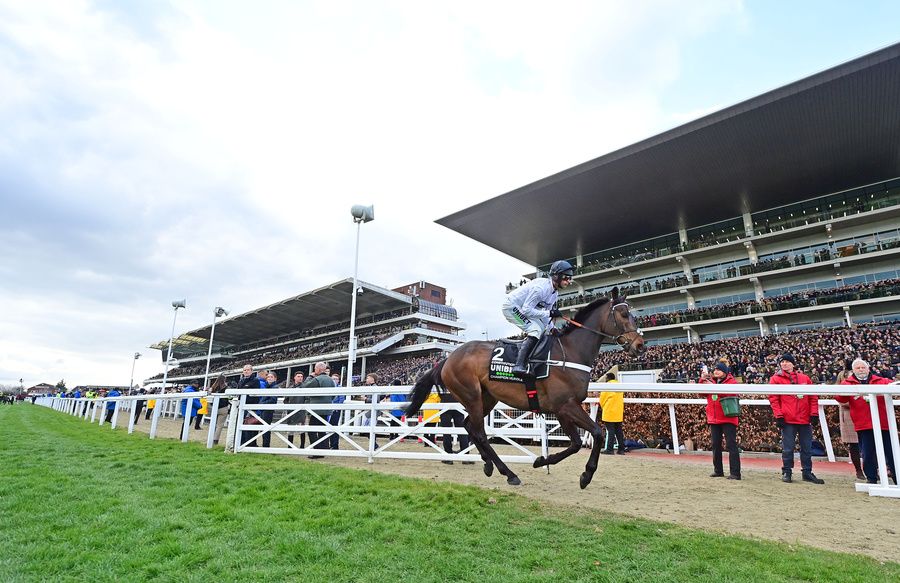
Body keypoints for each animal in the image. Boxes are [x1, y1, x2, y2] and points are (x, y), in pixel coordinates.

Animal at [404, 290, 644, 490]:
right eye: (624, 314)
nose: (640, 345)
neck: (570, 353)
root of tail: (446, 359)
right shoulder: (565, 406)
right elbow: (597, 432)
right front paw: (585, 475)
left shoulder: (562, 409)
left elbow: (576, 443)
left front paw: (542, 461)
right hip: (471, 396)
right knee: (479, 432)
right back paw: (508, 473)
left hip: (486, 398)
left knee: (469, 426)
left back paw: (489, 465)